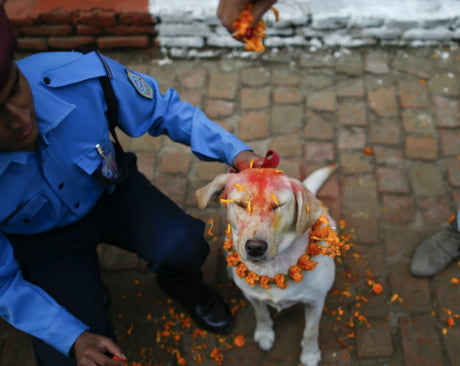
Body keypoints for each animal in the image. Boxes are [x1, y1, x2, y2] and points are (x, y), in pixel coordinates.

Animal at [195, 165, 338, 366]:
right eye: (241, 204)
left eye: (278, 205)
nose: (255, 247)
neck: (274, 268)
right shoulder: (253, 296)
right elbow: (261, 314)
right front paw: (264, 334)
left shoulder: (315, 301)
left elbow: (311, 330)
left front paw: (310, 354)